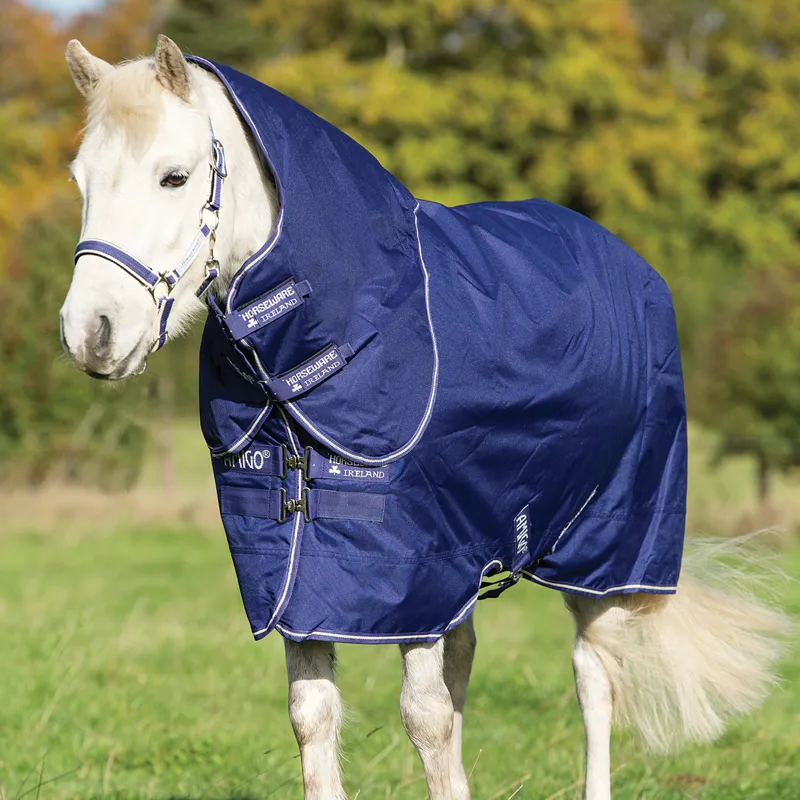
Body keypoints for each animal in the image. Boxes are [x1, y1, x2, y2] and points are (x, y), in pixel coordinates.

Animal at [60, 35, 788, 800]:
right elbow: (315, 717)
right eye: (80, 180)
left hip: (604, 551)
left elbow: (425, 716)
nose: (91, 333)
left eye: (174, 177)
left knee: (594, 679)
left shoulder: (413, 577)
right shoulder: (303, 579)